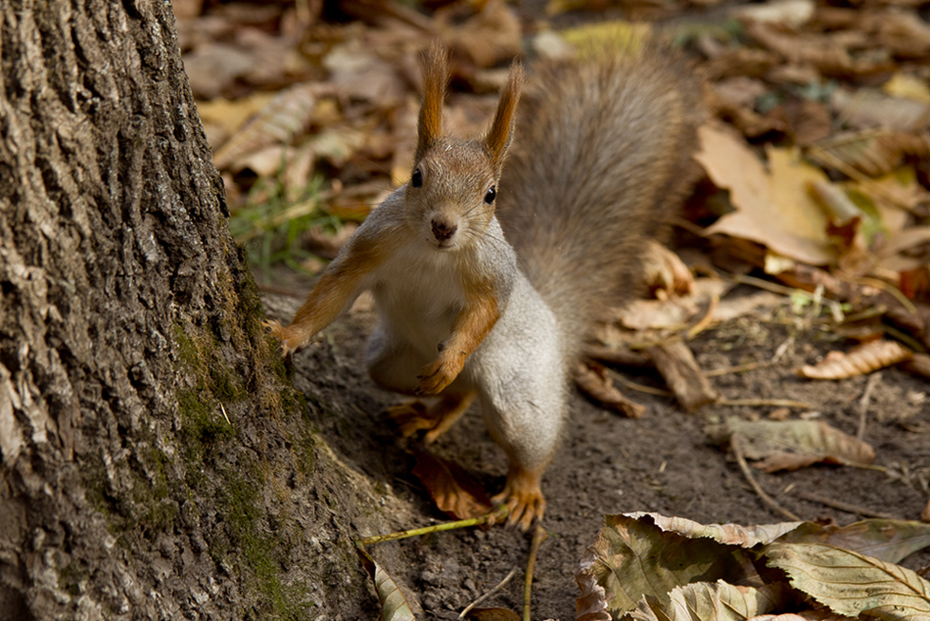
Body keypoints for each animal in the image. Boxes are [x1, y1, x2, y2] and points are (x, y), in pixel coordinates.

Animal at [268, 38, 704, 524]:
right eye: (416, 177)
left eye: (491, 194)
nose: (444, 226)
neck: (432, 254)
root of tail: (555, 322)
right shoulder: (370, 246)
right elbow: (334, 292)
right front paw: (289, 335)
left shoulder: (493, 275)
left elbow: (485, 312)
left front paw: (453, 356)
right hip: (393, 364)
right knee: (455, 393)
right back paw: (432, 411)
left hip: (521, 393)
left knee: (527, 439)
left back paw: (523, 488)